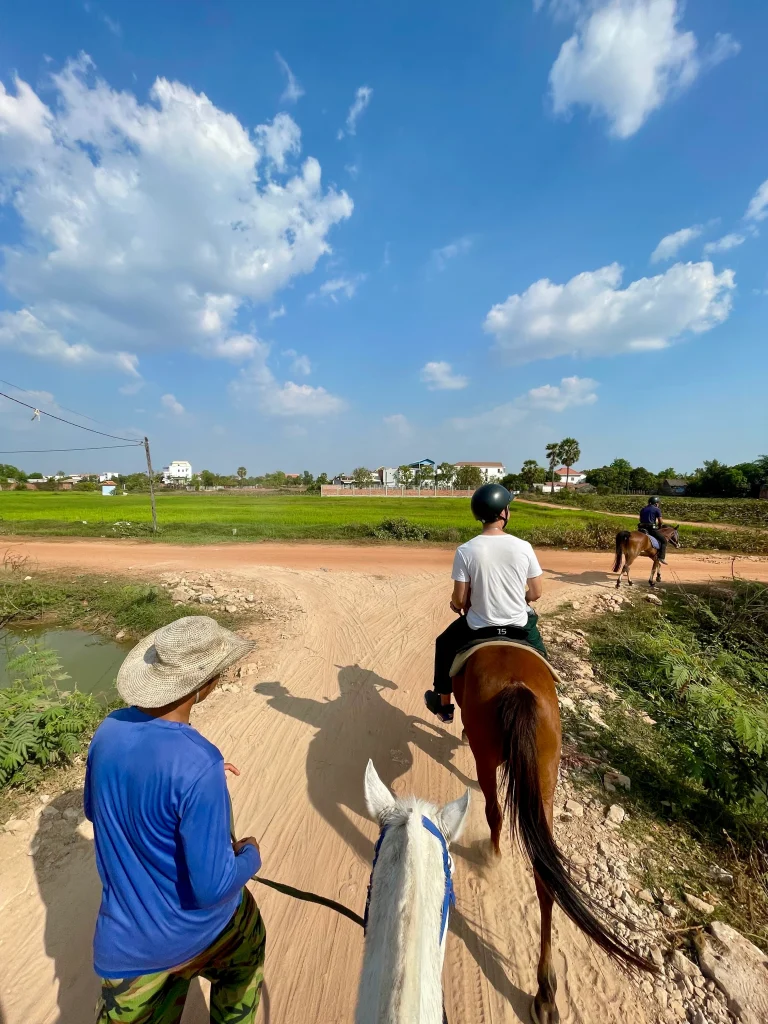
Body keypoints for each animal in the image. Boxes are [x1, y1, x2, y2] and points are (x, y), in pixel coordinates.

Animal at [454, 647, 651, 1024]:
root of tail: (517, 687)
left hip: (488, 759)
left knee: (494, 812)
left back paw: (492, 854)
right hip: (545, 773)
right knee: (545, 875)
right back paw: (545, 992)